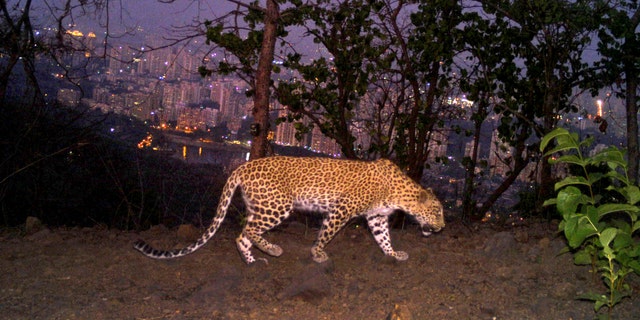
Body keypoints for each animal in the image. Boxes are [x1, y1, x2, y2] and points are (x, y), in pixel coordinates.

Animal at [135, 154, 444, 262]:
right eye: (438, 212)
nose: (442, 227)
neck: (399, 194)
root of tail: (242, 166)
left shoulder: (377, 217)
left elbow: (383, 238)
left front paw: (393, 253)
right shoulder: (341, 210)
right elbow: (326, 233)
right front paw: (317, 253)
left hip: (259, 205)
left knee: (242, 234)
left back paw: (252, 260)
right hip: (279, 206)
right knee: (247, 230)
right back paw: (272, 249)